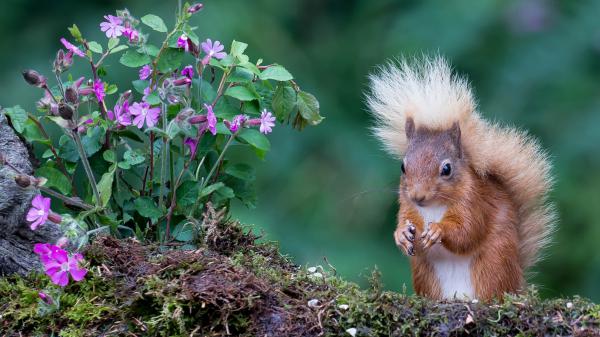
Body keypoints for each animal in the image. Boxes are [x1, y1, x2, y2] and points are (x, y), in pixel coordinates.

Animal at [368, 56, 556, 300]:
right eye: (402, 166)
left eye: (447, 169)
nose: (418, 196)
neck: (434, 207)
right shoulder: (407, 206)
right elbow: (404, 221)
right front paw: (401, 234)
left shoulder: (474, 202)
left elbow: (467, 231)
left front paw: (439, 230)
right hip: (425, 273)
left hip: (493, 263)